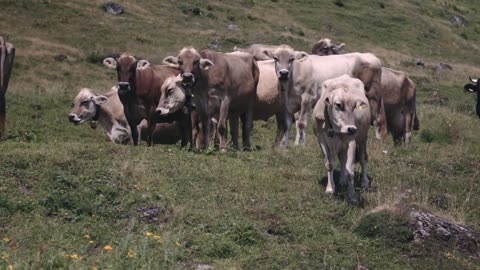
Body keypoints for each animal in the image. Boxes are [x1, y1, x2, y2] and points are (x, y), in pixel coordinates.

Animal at [312, 74, 372, 202]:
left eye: (354, 106)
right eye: (338, 104)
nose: (351, 129)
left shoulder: (351, 141)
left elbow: (350, 170)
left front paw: (353, 196)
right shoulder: (322, 140)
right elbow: (330, 164)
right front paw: (330, 189)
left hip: (363, 138)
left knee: (363, 159)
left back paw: (364, 182)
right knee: (342, 159)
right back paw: (343, 180)